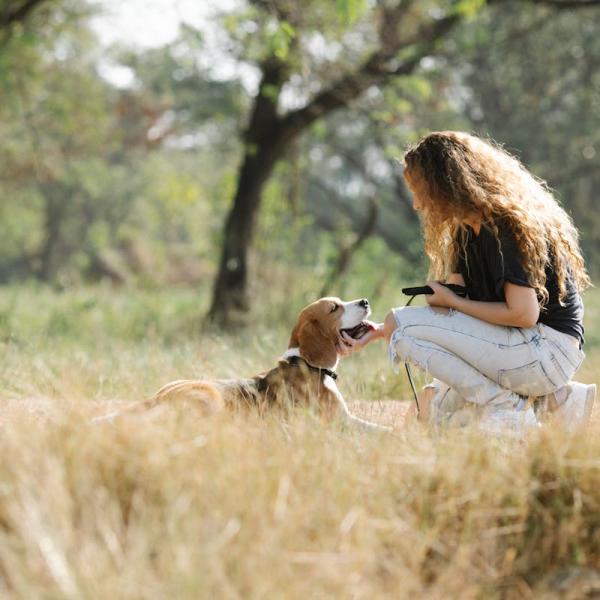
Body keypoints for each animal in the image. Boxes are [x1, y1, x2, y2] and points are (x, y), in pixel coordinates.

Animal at [95, 296, 390, 432]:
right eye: (334, 308)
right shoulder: (340, 422)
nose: (364, 301)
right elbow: (377, 429)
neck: (306, 362)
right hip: (211, 399)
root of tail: (159, 398)